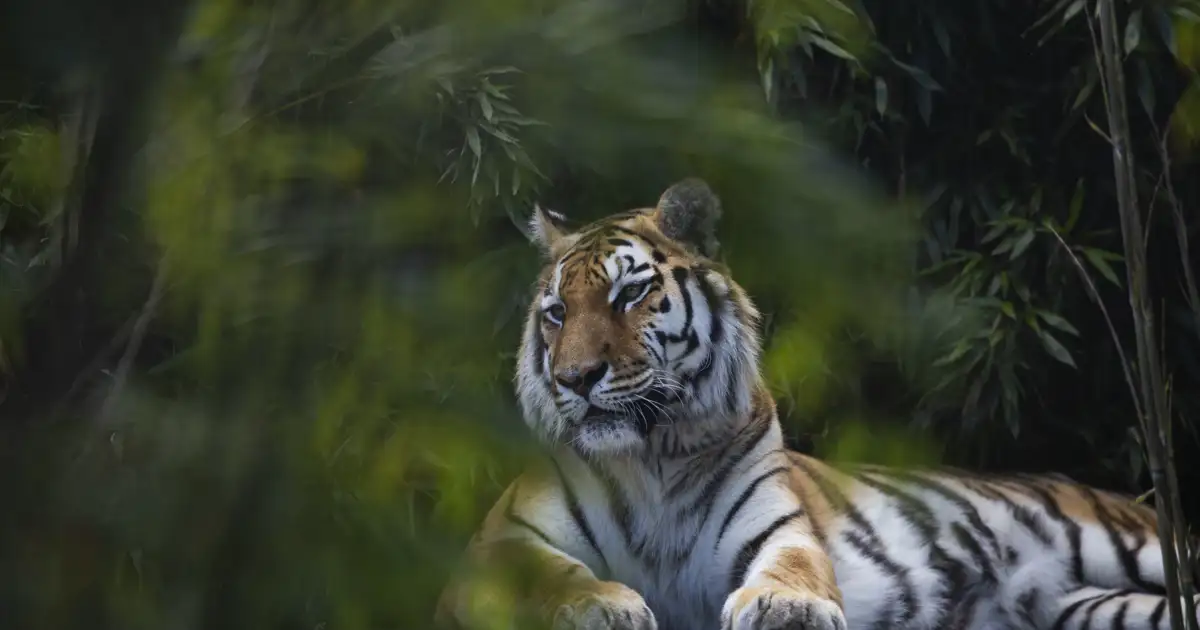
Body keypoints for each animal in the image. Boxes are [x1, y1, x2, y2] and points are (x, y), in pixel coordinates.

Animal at [436, 178, 1198, 630]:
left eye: (629, 294)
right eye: (558, 312)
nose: (575, 378)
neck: (652, 453)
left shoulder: (777, 526)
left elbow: (792, 563)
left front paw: (786, 605)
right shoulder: (496, 542)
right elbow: (549, 572)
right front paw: (600, 605)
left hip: (1124, 541)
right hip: (1095, 609)